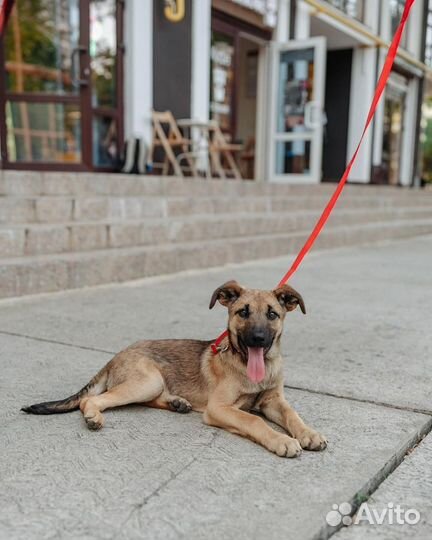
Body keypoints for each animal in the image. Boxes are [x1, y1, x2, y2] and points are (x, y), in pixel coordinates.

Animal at [22, 280, 326, 458]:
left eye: (272, 314)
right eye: (243, 312)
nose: (258, 339)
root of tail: (116, 356)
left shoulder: (273, 400)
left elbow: (292, 415)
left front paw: (309, 434)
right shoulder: (220, 408)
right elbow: (254, 420)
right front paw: (281, 440)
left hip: (151, 384)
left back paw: (177, 402)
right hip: (148, 381)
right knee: (91, 399)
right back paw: (93, 416)